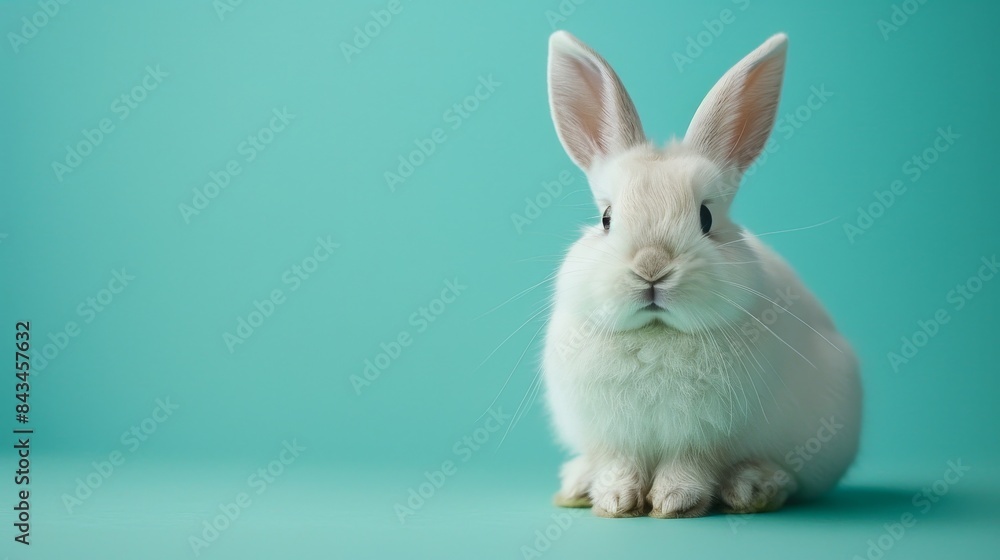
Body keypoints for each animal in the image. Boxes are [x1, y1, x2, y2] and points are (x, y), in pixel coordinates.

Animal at [542, 30, 861, 518]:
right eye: (607, 219)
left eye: (706, 218)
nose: (651, 268)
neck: (656, 334)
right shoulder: (614, 438)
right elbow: (618, 464)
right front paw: (615, 500)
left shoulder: (706, 440)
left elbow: (689, 467)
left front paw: (673, 503)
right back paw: (577, 484)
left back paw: (754, 487)